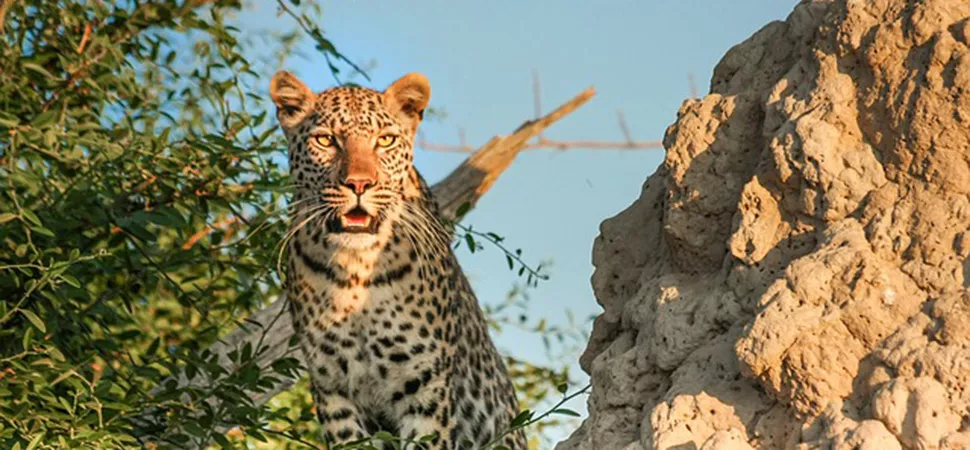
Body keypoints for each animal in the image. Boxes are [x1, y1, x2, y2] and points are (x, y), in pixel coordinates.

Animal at [268, 71, 524, 450]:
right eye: (326, 140)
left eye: (385, 140)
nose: (359, 184)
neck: (356, 270)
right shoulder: (333, 390)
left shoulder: (424, 385)